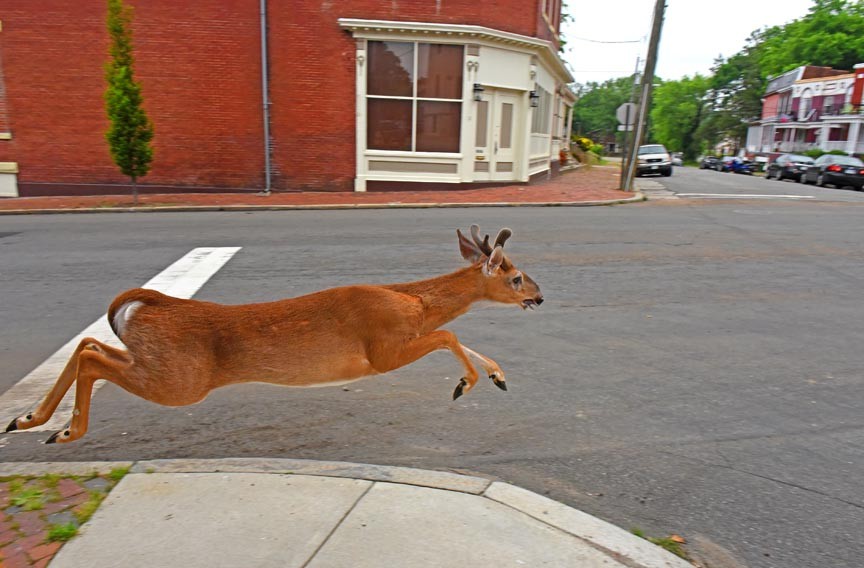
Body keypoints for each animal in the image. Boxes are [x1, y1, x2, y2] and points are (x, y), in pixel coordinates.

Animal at [6, 225, 543, 444]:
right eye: (516, 277)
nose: (539, 296)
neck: (414, 302)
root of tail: (145, 301)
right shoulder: (381, 351)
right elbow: (448, 335)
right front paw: (465, 384)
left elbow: (455, 335)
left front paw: (497, 377)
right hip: (180, 380)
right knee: (93, 356)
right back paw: (61, 430)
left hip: (158, 364)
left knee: (89, 344)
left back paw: (27, 419)